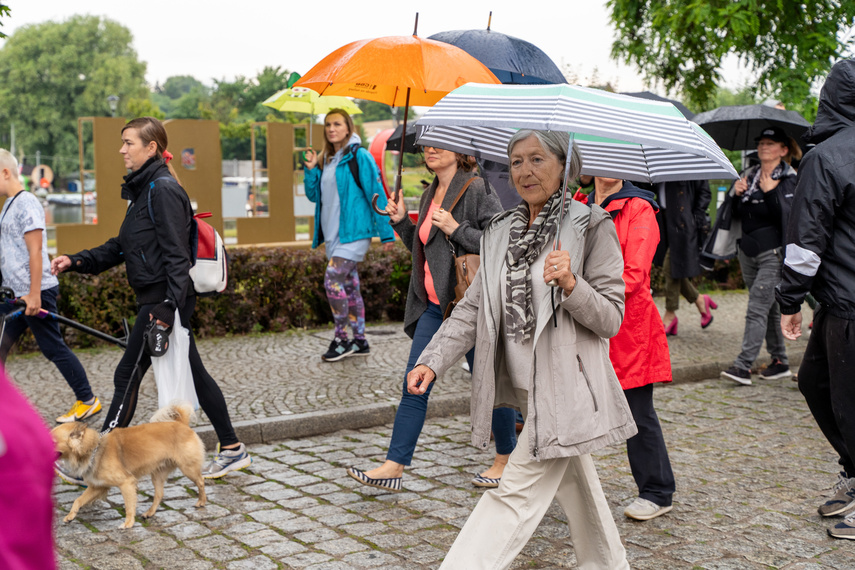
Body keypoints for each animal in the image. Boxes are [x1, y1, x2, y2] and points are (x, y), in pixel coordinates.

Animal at [54, 400, 207, 528]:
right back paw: (149, 513)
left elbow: (129, 505)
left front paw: (128, 523)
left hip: (188, 468)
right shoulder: (98, 487)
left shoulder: (126, 483)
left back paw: (202, 501)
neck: (94, 450)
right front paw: (70, 516)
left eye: (53, 440)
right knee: (159, 494)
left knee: (201, 481)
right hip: (158, 475)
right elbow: (78, 500)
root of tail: (182, 423)